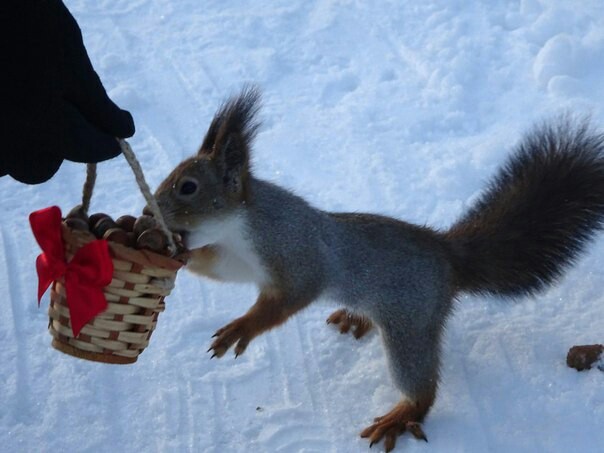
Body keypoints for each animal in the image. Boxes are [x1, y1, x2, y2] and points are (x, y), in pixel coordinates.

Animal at [153, 86, 604, 450]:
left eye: (188, 187)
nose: (150, 208)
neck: (237, 227)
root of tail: (448, 256)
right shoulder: (238, 260)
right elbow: (220, 270)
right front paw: (181, 254)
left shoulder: (296, 251)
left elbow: (288, 299)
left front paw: (241, 328)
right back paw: (357, 319)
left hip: (411, 324)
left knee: (422, 387)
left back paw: (401, 416)